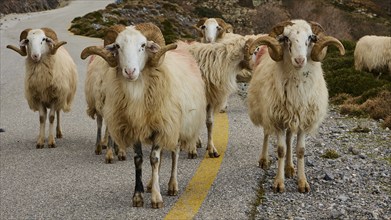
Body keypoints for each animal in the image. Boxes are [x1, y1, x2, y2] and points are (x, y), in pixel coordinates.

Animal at [81, 23, 207, 209]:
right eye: (118, 46)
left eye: (143, 45)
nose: (130, 71)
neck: (136, 93)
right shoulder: (134, 128)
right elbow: (139, 160)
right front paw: (138, 196)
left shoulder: (162, 126)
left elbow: (154, 159)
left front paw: (156, 198)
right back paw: (150, 184)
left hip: (177, 125)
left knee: (174, 153)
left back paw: (172, 185)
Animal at [248, 19, 346, 193]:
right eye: (286, 38)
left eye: (311, 37)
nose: (300, 60)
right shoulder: (278, 120)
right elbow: (281, 150)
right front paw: (279, 183)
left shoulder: (303, 120)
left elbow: (300, 151)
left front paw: (302, 182)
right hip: (266, 112)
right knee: (267, 133)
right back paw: (264, 160)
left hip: (292, 118)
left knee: (289, 139)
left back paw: (289, 168)